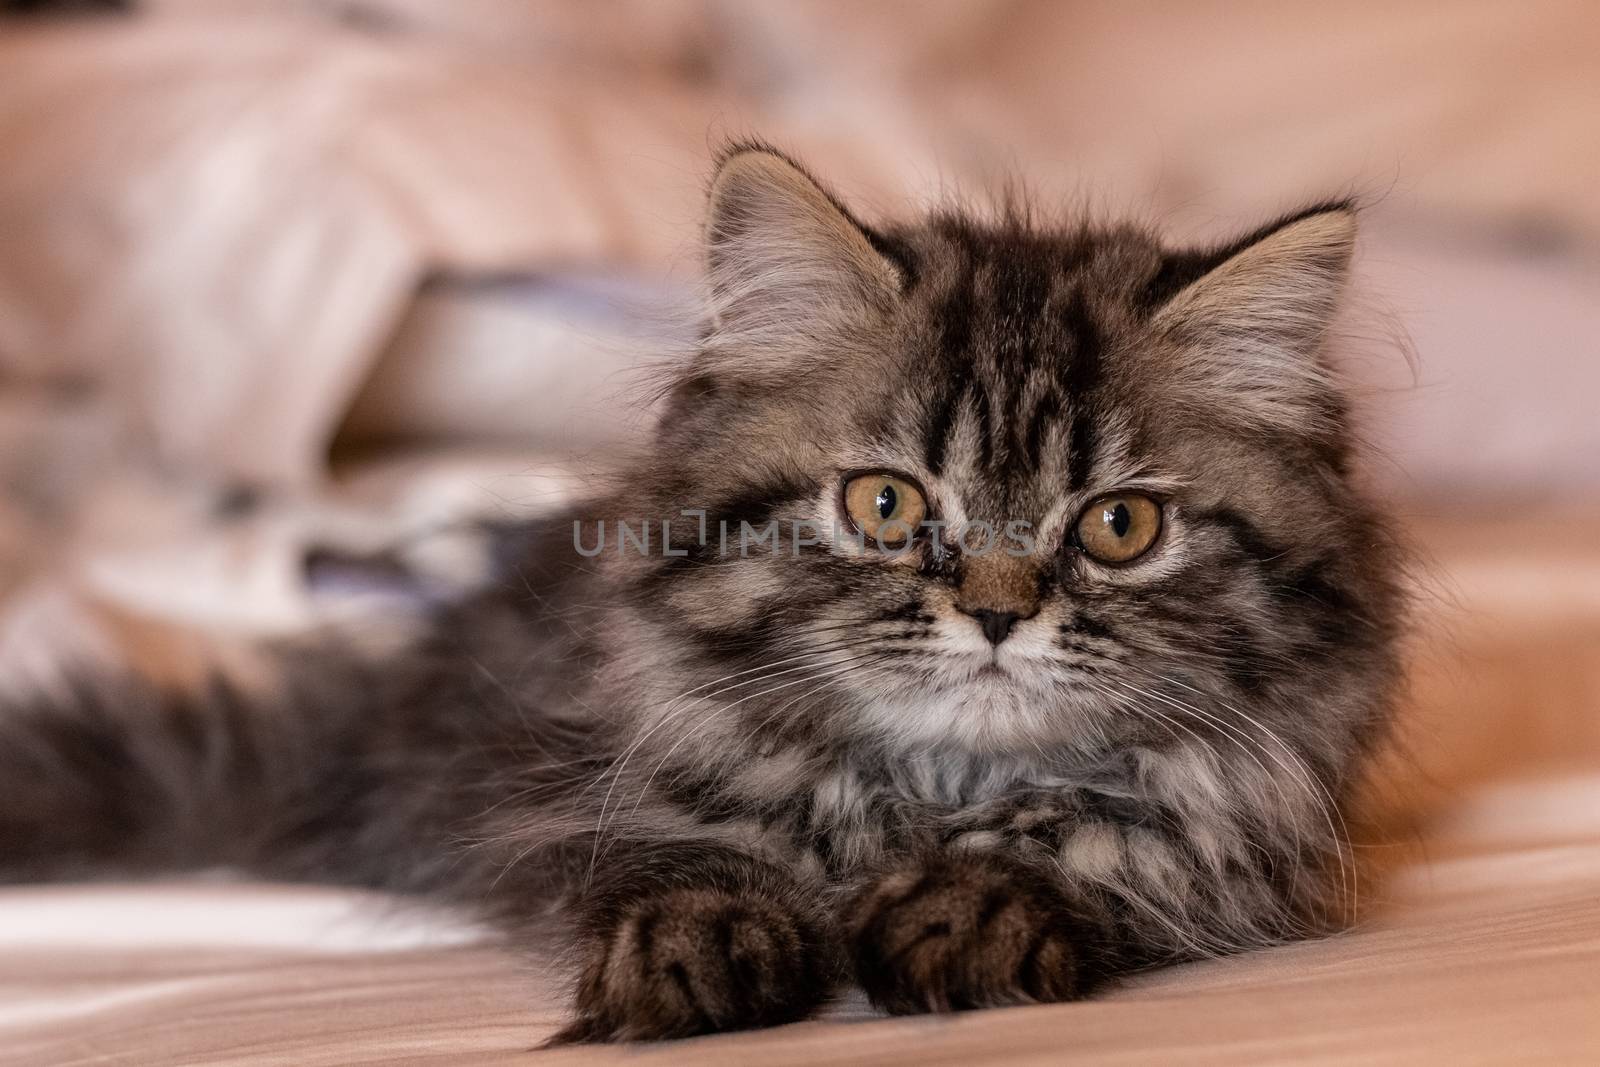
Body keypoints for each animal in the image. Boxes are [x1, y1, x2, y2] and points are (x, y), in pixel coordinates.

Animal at [0, 143, 1401, 1043]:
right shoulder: (578, 776)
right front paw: (697, 948)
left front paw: (977, 905)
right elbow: (685, 853)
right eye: (883, 506)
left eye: (1119, 525)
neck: (934, 789)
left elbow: (1104, 842)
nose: (999, 612)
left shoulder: (1246, 834)